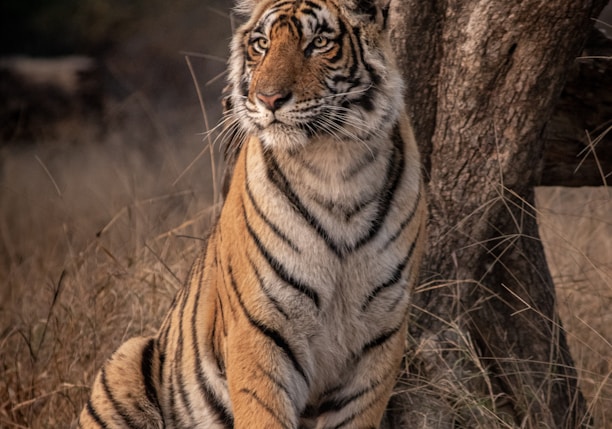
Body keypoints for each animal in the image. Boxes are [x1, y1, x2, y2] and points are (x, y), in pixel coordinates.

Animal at [77, 0, 426, 426]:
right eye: (262, 44)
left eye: (319, 43)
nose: (269, 99)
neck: (335, 166)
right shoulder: (261, 327)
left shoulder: (379, 338)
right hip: (127, 358)